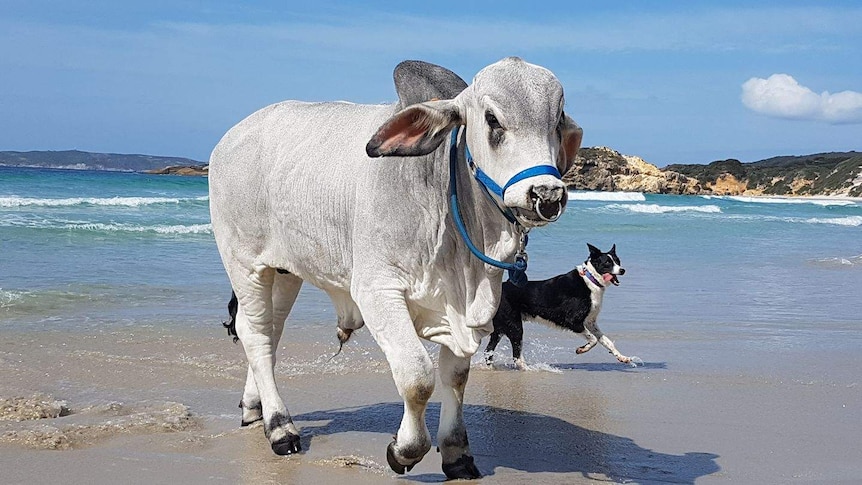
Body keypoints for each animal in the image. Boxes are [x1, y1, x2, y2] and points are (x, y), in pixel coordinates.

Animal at [209, 56, 584, 476]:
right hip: (244, 263)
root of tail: (231, 137)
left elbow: (456, 377)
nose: (546, 195)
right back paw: (279, 426)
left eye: (557, 120)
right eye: (492, 120)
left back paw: (254, 406)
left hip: (285, 271)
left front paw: (456, 453)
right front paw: (404, 450)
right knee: (254, 331)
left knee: (269, 332)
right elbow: (417, 376)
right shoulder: (378, 292)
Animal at [486, 244, 640, 368]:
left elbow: (606, 341)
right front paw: (581, 349)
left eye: (618, 261)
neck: (590, 279)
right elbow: (593, 339)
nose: (622, 270)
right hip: (515, 326)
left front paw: (623, 358)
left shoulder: (590, 322)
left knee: (488, 352)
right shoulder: (572, 321)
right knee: (516, 356)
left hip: (500, 328)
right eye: (608, 262)